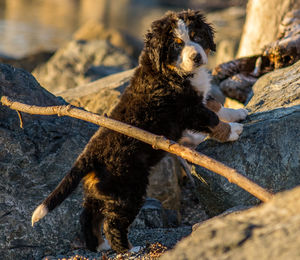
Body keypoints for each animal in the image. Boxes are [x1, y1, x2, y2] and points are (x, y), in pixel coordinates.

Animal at [30, 9, 247, 252]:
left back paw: (99, 246)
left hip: (100, 191)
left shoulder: (198, 98)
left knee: (88, 216)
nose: (196, 57)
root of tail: (89, 154)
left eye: (196, 36)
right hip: (128, 190)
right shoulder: (187, 109)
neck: (168, 72)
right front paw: (232, 131)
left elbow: (215, 105)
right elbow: (212, 118)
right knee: (113, 223)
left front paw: (237, 113)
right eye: (177, 45)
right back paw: (127, 249)